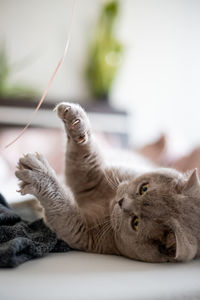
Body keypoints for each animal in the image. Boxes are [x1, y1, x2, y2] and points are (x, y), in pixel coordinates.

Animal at [15, 102, 200, 262]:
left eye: (136, 223)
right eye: (144, 188)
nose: (122, 202)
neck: (107, 200)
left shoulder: (82, 231)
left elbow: (62, 205)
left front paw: (38, 174)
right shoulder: (93, 175)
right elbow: (84, 154)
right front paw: (74, 119)